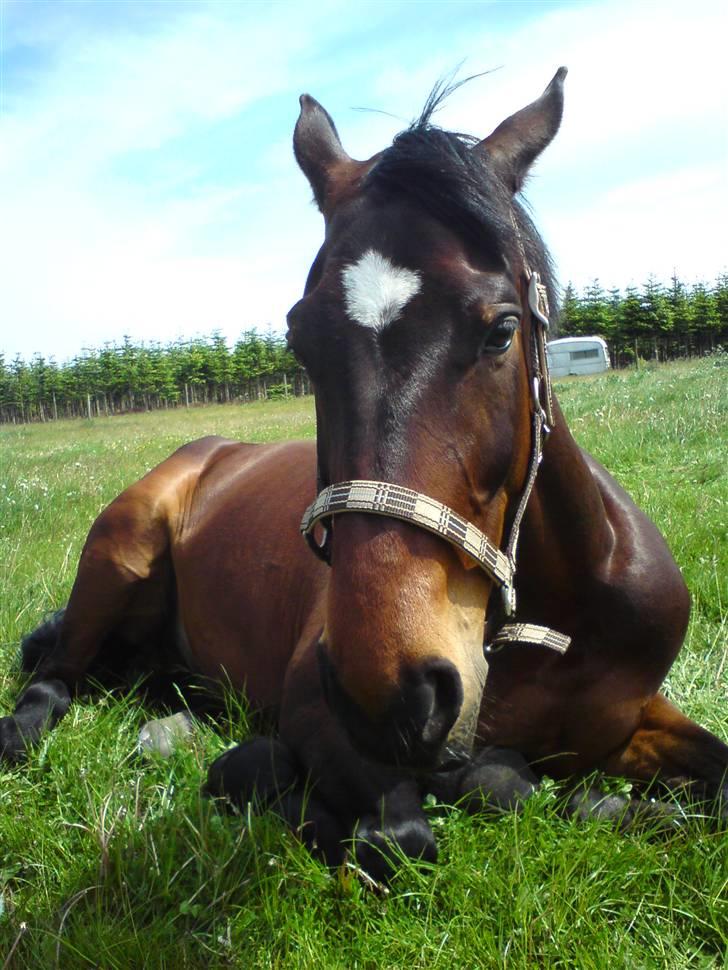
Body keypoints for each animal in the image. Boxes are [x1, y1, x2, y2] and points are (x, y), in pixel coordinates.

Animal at [2, 68, 724, 876]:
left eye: (503, 330)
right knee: (52, 679)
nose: (392, 691)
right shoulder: (320, 712)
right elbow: (402, 831)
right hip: (115, 556)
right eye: (300, 340)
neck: (557, 619)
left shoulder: (633, 717)